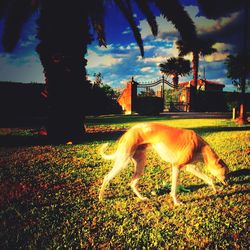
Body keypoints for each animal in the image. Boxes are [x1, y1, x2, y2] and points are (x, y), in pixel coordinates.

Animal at [98, 122, 229, 204]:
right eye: (226, 173)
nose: (227, 183)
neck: (200, 146)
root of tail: (128, 132)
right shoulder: (176, 166)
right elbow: (174, 188)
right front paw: (176, 202)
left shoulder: (191, 168)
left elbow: (209, 179)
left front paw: (214, 189)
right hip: (123, 161)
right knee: (107, 177)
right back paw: (100, 197)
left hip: (140, 163)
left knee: (133, 183)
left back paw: (142, 198)